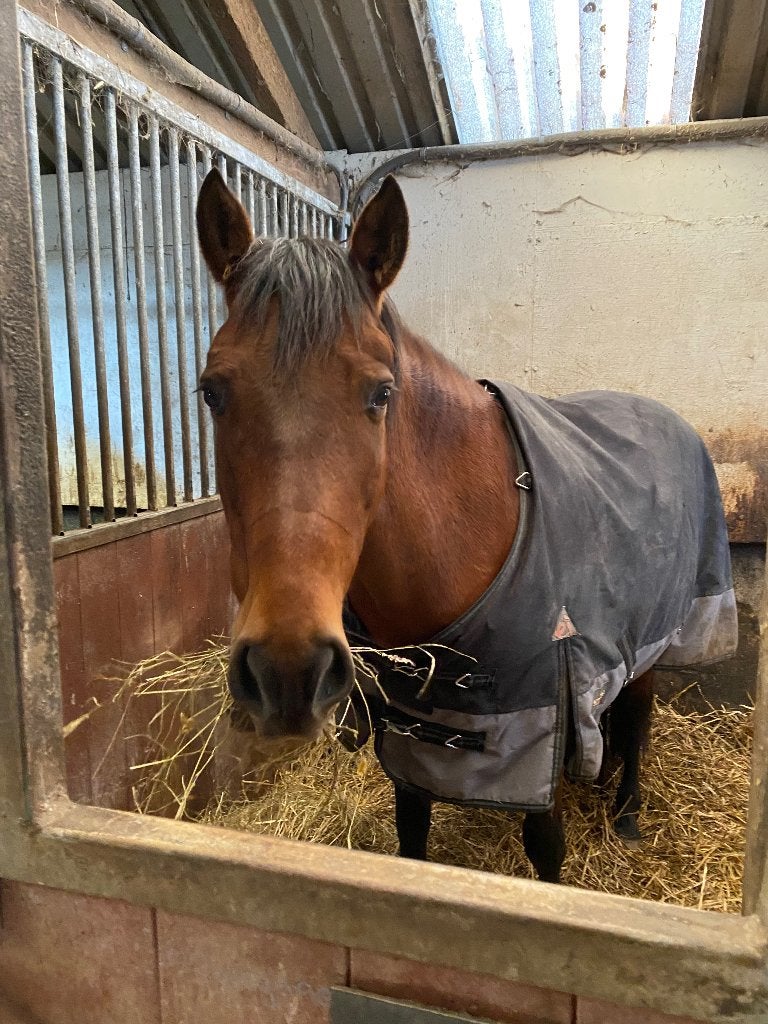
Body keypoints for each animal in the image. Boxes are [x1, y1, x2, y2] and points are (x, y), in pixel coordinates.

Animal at [195, 170, 737, 883]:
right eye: (212, 391)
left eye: (381, 393)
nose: (287, 669)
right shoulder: (411, 735)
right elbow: (412, 833)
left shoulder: (541, 728)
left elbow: (546, 848)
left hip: (652, 642)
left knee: (638, 719)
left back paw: (626, 814)